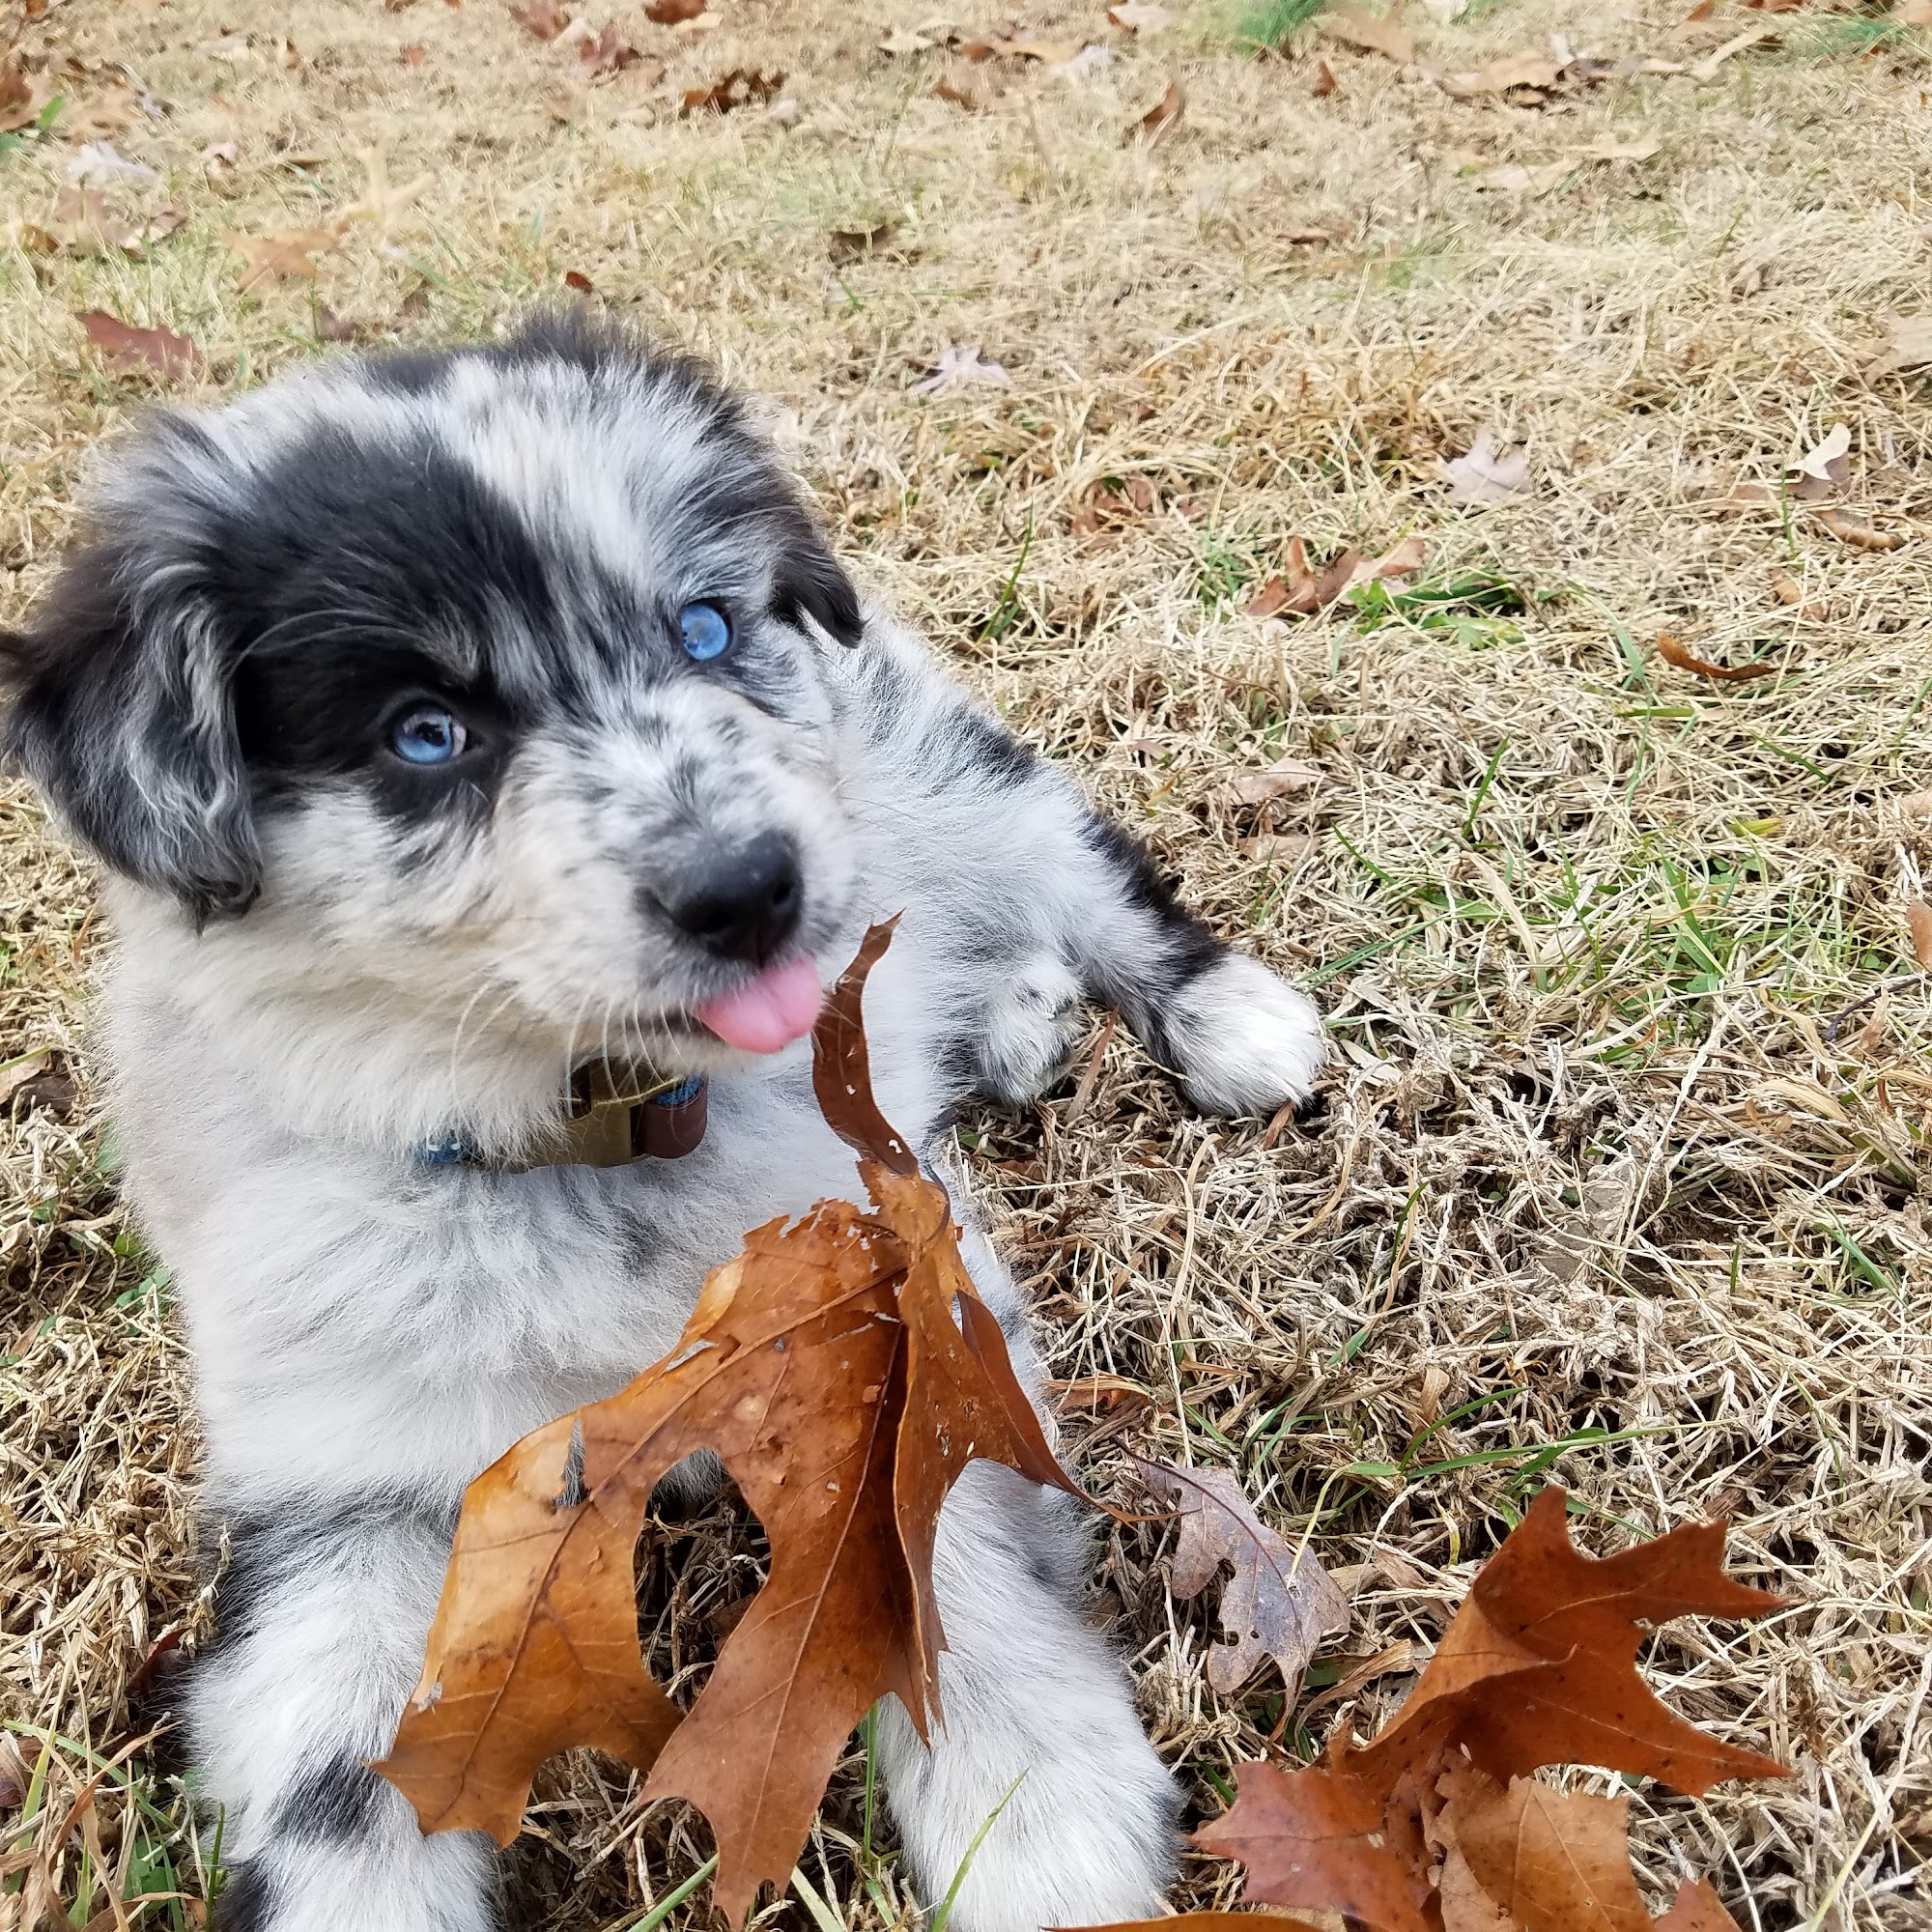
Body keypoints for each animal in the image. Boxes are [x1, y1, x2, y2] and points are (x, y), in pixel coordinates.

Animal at [0, 317, 1321, 1932]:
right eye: (423, 733)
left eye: (700, 630)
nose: (751, 889)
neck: (593, 1132)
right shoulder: (333, 1466)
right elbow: (334, 1773)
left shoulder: (898, 1297)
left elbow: (938, 1545)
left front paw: (1036, 1817)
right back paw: (1009, 1017)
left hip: (942, 780)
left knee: (1089, 877)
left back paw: (1229, 1020)